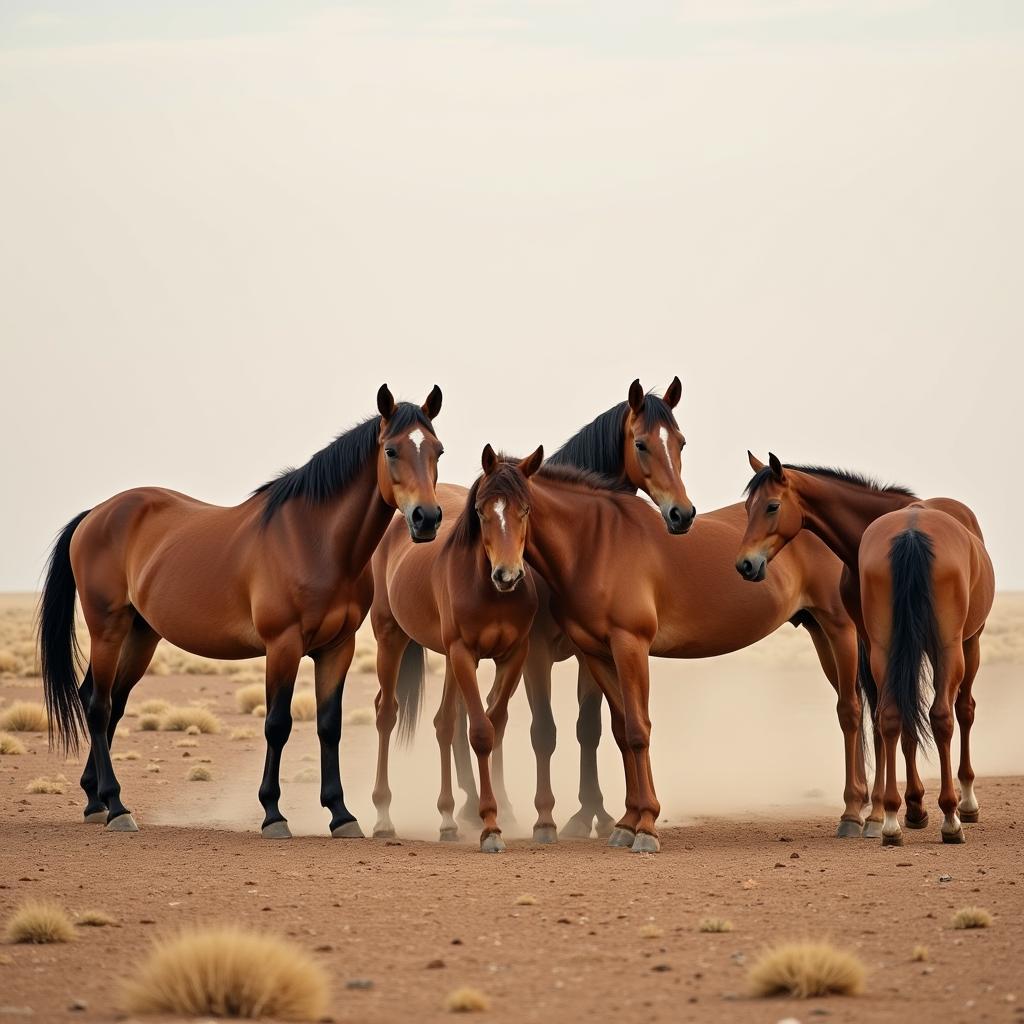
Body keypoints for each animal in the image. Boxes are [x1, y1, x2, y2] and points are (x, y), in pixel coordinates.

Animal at [37, 385, 444, 839]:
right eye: (391, 450)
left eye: (438, 451)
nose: (426, 518)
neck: (314, 540)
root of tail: (94, 515)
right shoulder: (283, 646)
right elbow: (278, 724)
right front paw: (273, 814)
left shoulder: (338, 648)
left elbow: (329, 725)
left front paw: (341, 814)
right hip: (107, 628)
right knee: (98, 705)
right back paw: (117, 806)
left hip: (140, 636)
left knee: (109, 701)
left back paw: (96, 802)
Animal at [456, 460, 864, 851]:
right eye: (479, 511)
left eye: (524, 509)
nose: (505, 574)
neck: (594, 545)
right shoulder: (598, 655)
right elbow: (622, 731)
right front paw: (626, 823)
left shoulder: (630, 646)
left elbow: (639, 730)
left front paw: (647, 827)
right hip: (819, 632)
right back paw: (864, 810)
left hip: (840, 630)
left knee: (851, 712)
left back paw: (855, 816)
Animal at [737, 456, 991, 847]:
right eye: (748, 507)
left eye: (771, 506)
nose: (745, 564)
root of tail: (913, 534)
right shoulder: (886, 644)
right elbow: (904, 717)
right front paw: (909, 808)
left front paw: (894, 809)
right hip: (949, 646)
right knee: (944, 714)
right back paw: (949, 813)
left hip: (943, 646)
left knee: (938, 712)